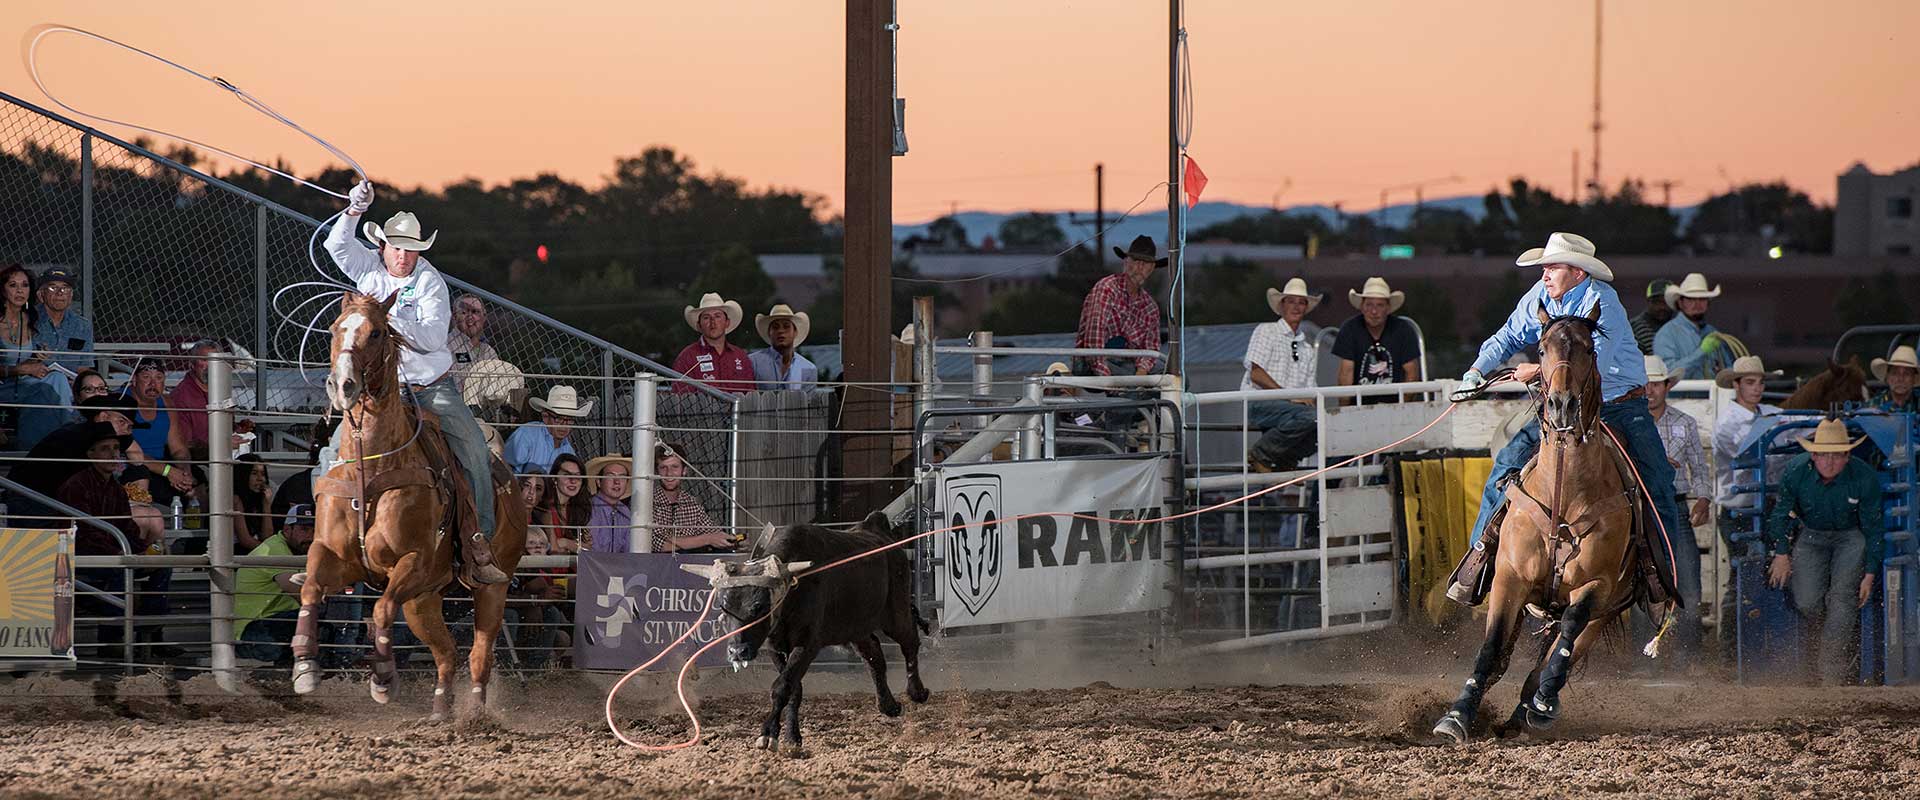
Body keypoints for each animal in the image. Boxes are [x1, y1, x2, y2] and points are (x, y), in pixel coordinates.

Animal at [284, 291, 529, 717]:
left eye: (377, 332)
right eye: (334, 328)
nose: (342, 385)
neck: (371, 464)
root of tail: (509, 479)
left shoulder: (411, 561)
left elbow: (381, 609)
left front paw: (383, 678)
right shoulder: (332, 554)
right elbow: (311, 589)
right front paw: (305, 667)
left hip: (490, 588)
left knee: (478, 654)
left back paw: (475, 715)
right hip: (423, 599)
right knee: (446, 653)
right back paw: (441, 708)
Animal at [1436, 305, 1643, 740]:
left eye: (1589, 348)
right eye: (1543, 349)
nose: (1562, 405)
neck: (1564, 489)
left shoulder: (1596, 587)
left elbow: (1565, 639)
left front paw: (1545, 703)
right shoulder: (1509, 578)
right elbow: (1492, 649)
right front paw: (1457, 715)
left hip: (1607, 611)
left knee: (1552, 657)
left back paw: (1531, 711)